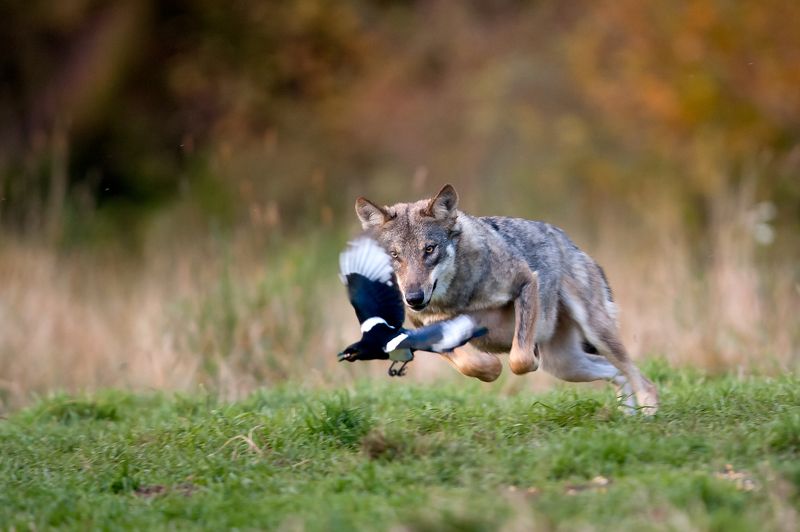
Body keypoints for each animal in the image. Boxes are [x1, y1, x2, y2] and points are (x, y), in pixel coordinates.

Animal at [355, 184, 659, 414]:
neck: (457, 297)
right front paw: (490, 367)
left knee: (643, 380)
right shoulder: (422, 328)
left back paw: (647, 417)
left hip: (593, 336)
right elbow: (470, 364)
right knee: (618, 373)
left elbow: (519, 359)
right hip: (566, 366)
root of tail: (573, 244)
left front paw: (514, 362)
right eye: (395, 255)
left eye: (429, 249)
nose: (414, 298)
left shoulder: (525, 282)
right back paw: (627, 416)